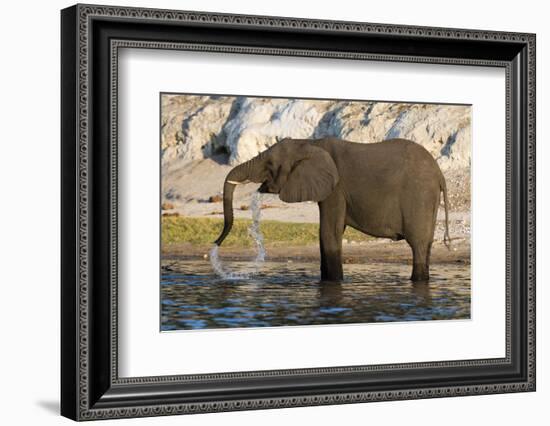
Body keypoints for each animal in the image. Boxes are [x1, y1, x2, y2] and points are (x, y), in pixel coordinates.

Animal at [213, 137, 450, 282]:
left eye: (270, 165)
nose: (215, 244)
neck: (308, 143)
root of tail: (440, 173)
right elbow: (327, 234)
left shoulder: (336, 188)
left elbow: (329, 233)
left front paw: (335, 281)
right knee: (426, 245)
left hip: (419, 195)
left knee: (418, 245)